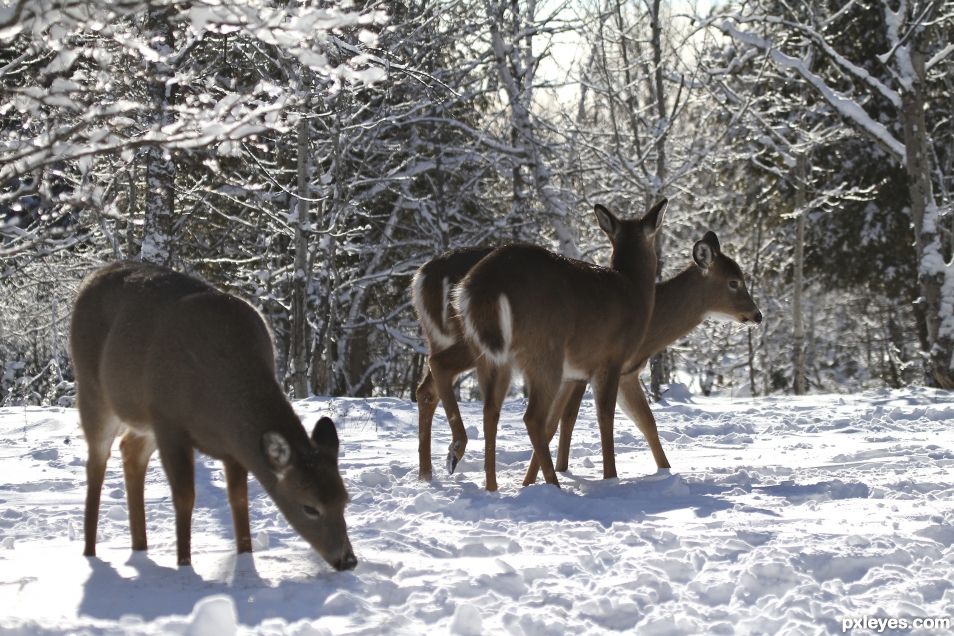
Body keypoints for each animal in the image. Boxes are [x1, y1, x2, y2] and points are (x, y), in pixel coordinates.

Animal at [69, 260, 356, 568]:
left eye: (344, 500)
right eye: (309, 507)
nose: (348, 560)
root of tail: (90, 278)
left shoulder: (233, 447)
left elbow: (239, 500)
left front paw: (245, 556)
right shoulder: (170, 420)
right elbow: (185, 496)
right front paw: (184, 564)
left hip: (144, 420)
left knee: (130, 451)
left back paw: (140, 548)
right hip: (93, 390)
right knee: (96, 462)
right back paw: (90, 552)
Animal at [452, 201, 664, 490]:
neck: (633, 289)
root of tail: (484, 285)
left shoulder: (572, 374)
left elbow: (555, 424)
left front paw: (527, 481)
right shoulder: (611, 361)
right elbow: (606, 417)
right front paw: (611, 476)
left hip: (489, 355)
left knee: (492, 412)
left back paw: (493, 487)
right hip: (544, 349)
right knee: (532, 417)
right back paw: (554, 484)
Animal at [520, 231, 760, 484]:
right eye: (733, 281)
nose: (758, 315)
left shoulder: (622, 374)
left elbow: (646, 421)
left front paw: (665, 470)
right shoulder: (595, 371)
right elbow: (560, 422)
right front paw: (540, 479)